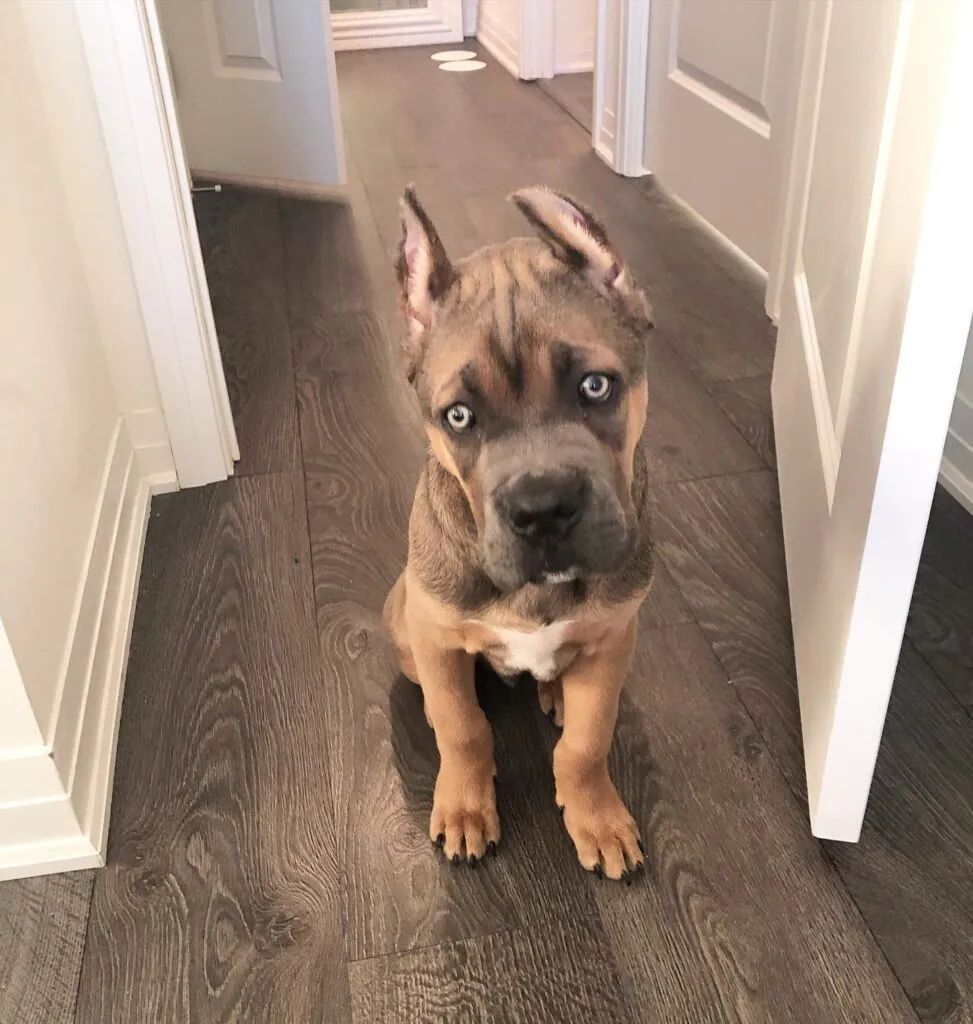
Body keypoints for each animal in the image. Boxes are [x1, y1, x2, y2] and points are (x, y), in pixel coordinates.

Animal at [383, 185, 655, 882]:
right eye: (458, 417)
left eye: (596, 386)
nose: (543, 509)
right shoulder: (435, 636)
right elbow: (462, 728)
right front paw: (463, 806)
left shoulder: (615, 638)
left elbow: (587, 743)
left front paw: (596, 816)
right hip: (402, 620)